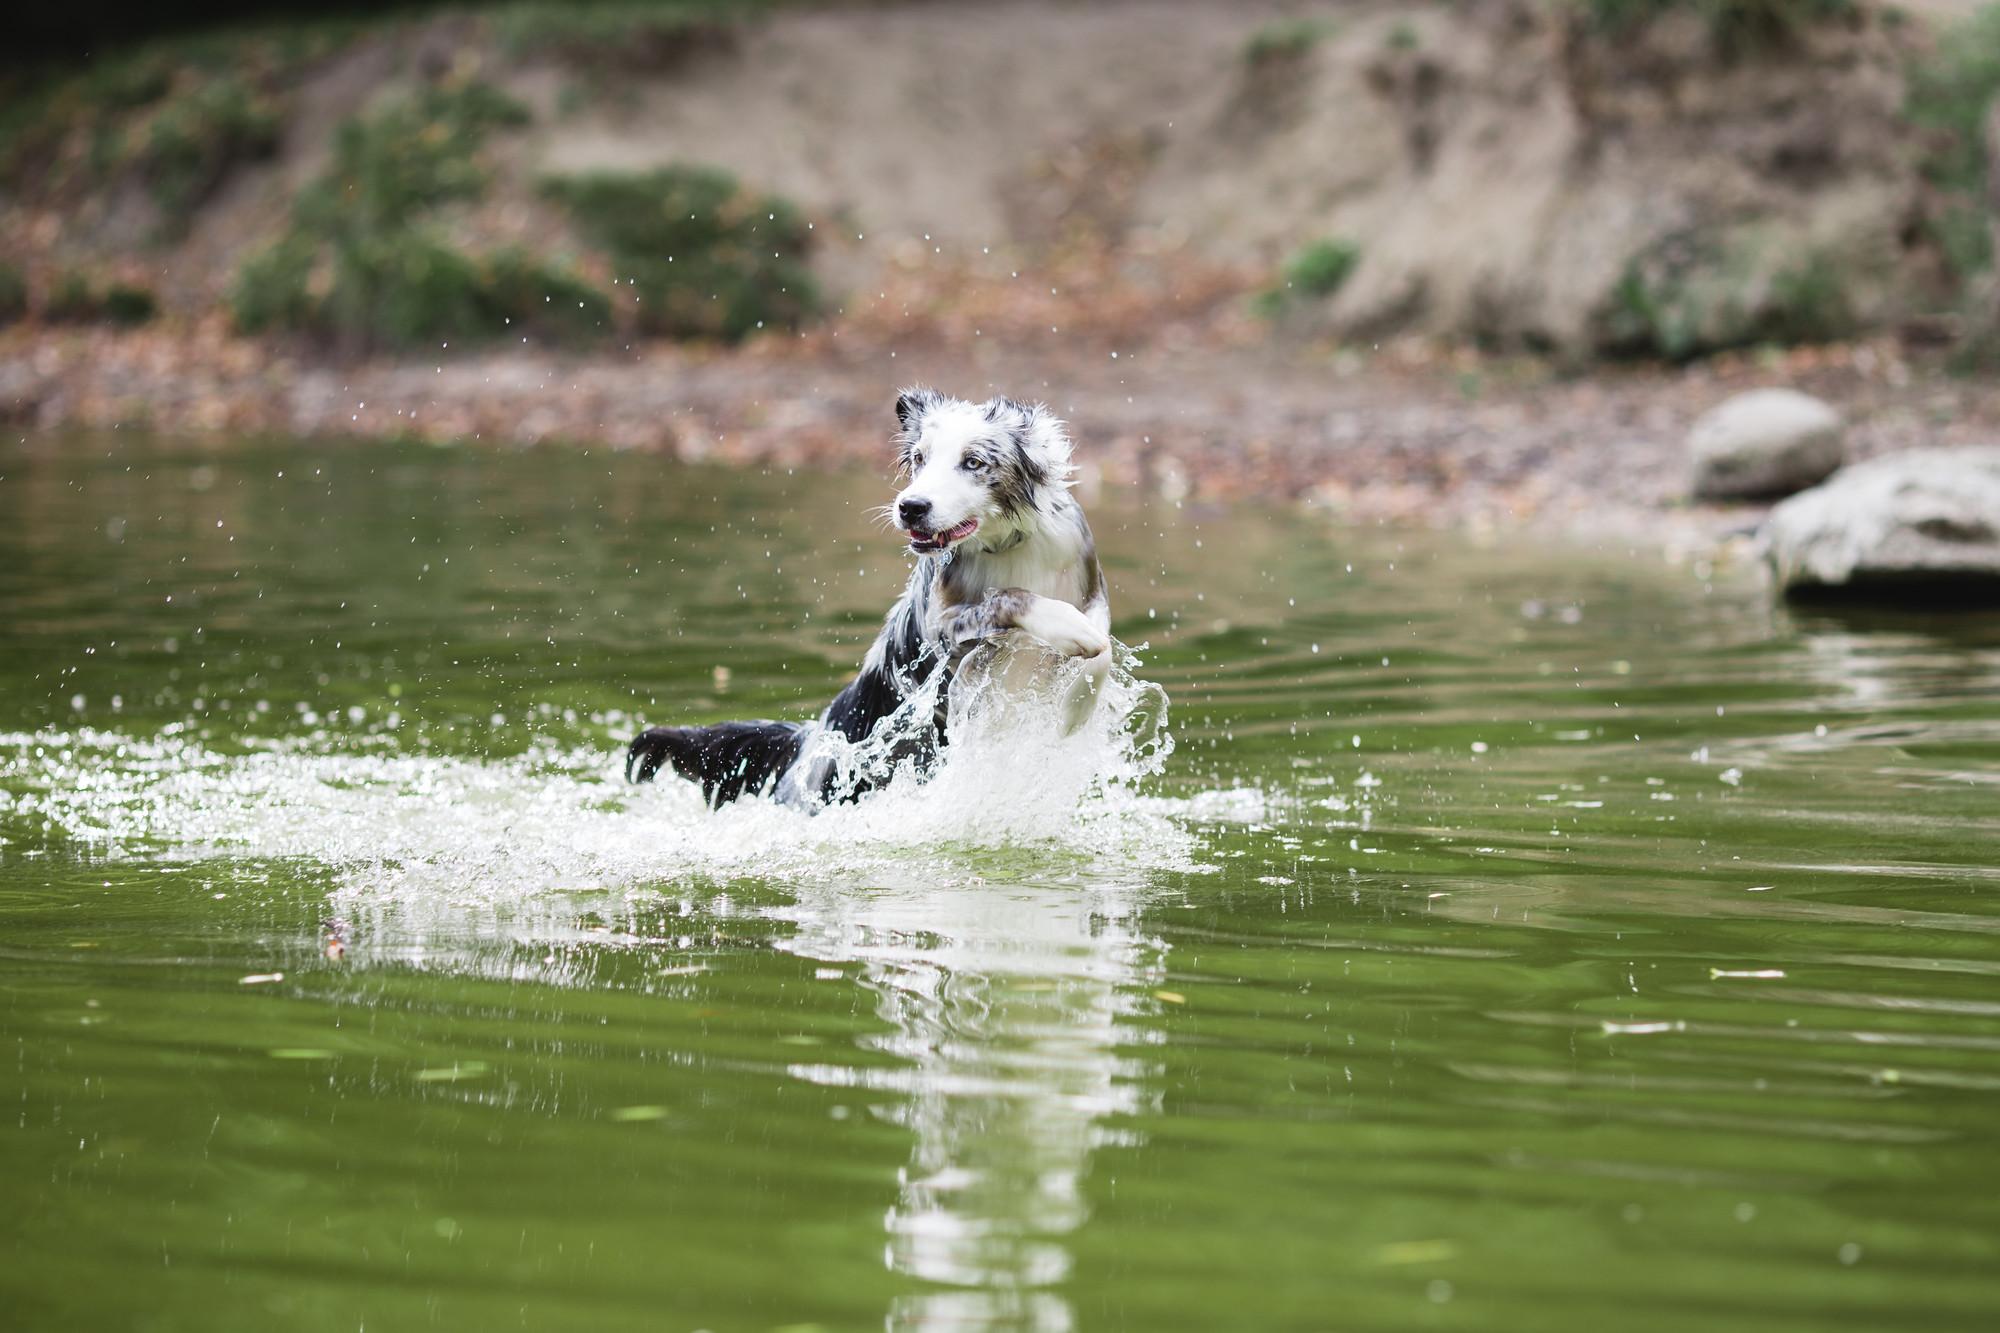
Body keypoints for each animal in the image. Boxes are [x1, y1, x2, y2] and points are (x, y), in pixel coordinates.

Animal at [628, 378, 1112, 804]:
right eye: (919, 458)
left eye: (973, 462)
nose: (910, 507)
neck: (1010, 544)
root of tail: (807, 740)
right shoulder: (941, 630)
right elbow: (1009, 597)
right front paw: (1065, 627)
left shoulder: (1092, 589)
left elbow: (1101, 650)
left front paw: (1076, 709)